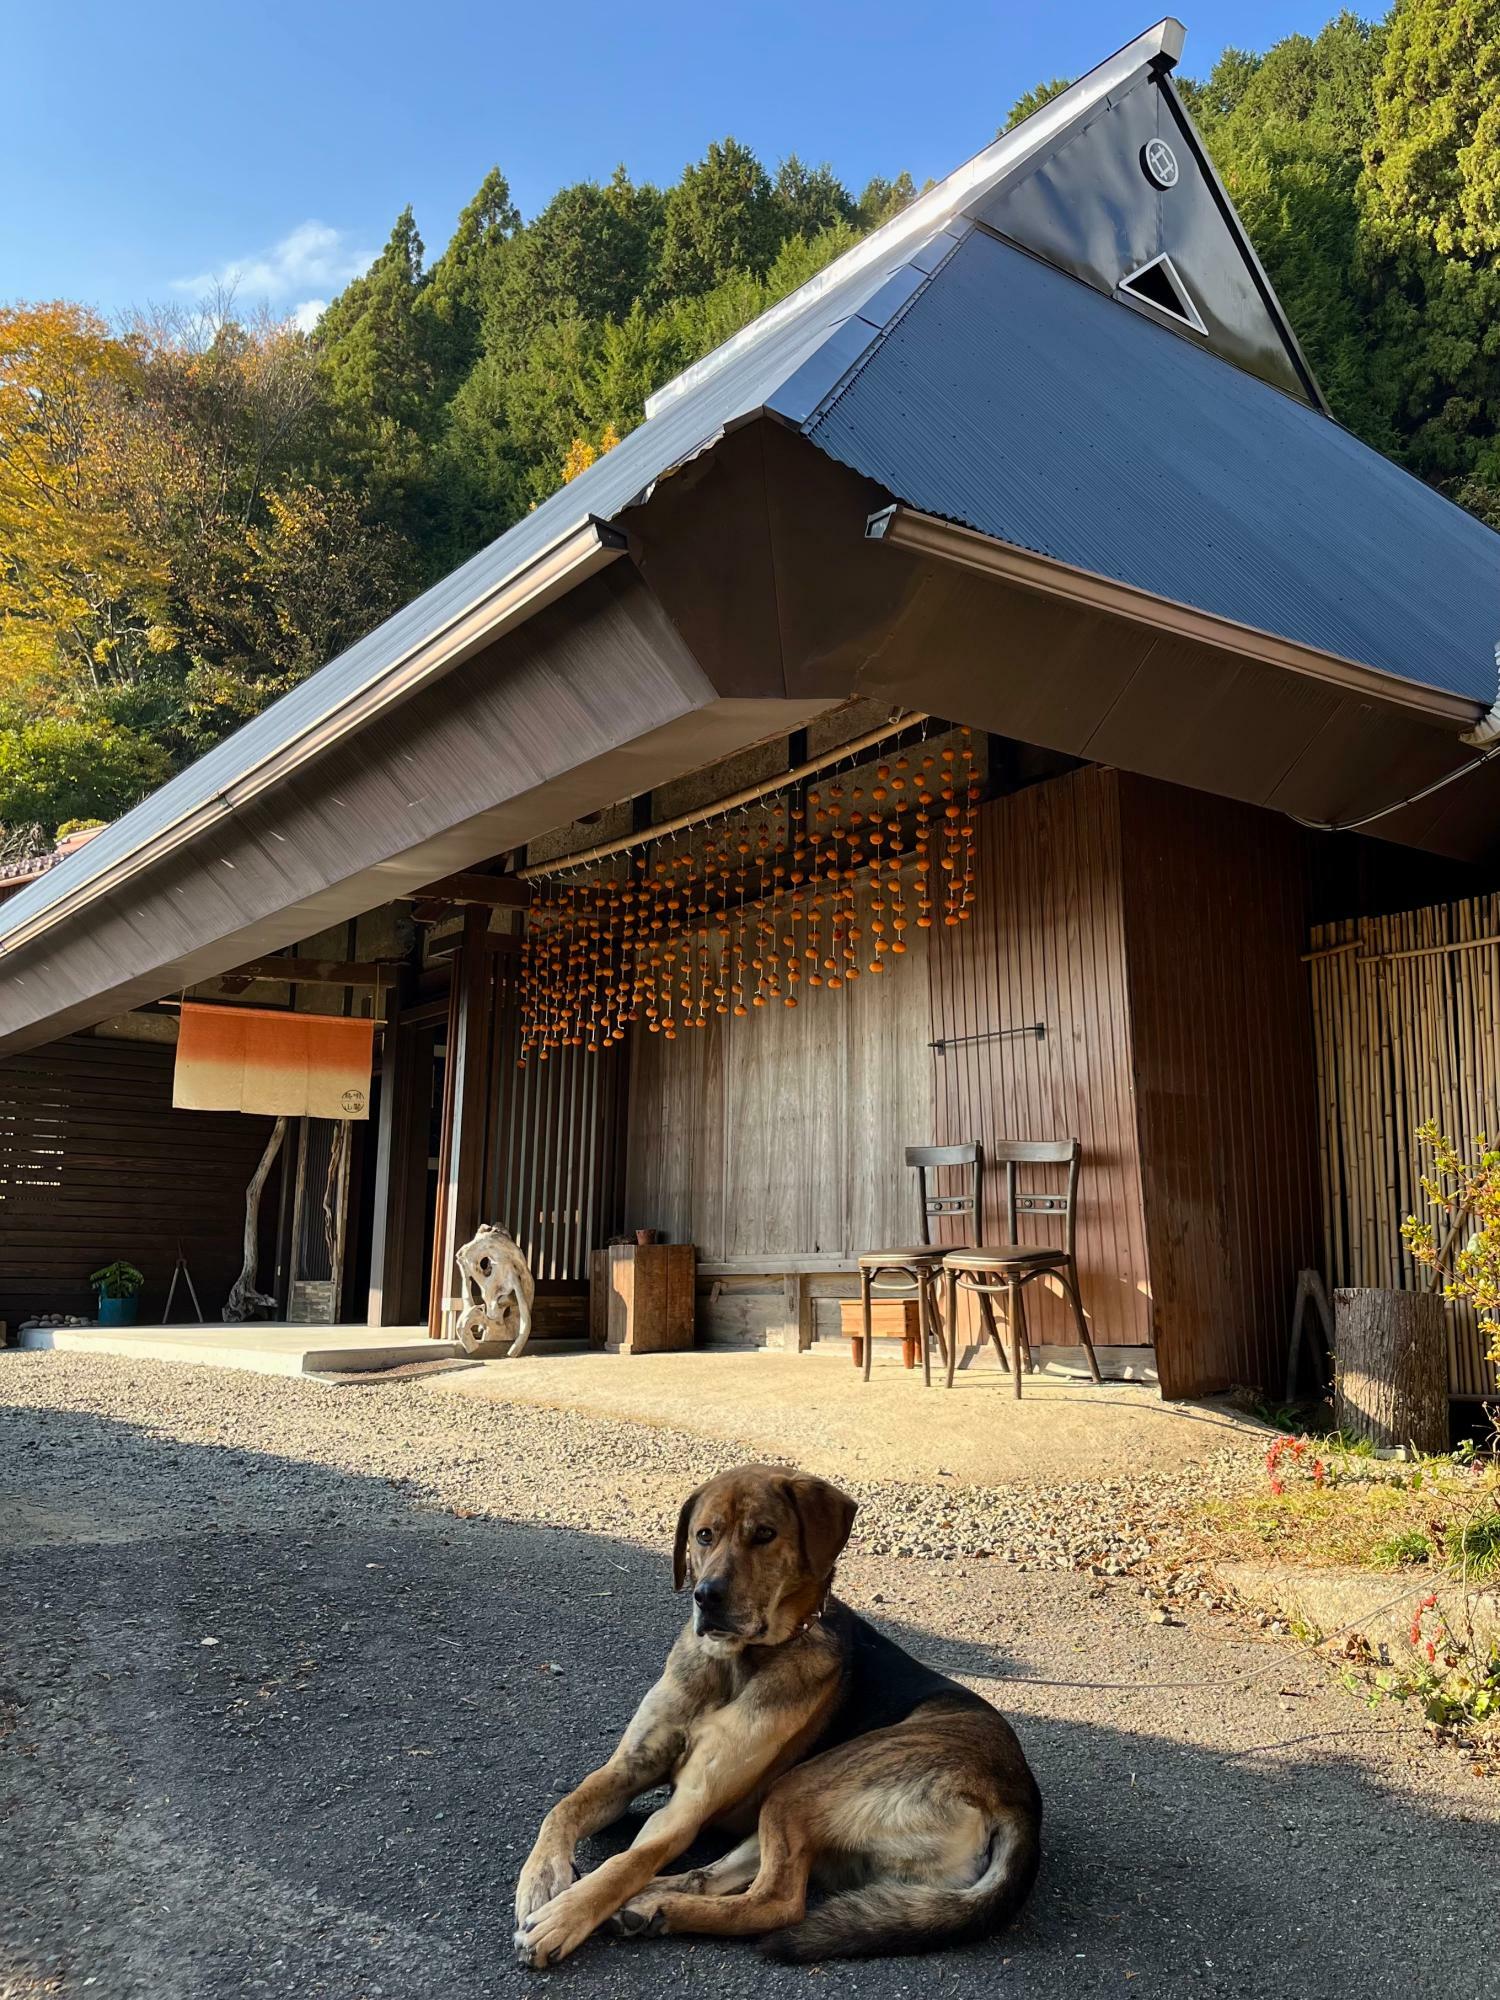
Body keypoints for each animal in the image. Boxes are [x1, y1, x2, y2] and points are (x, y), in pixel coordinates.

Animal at [512, 1472, 1040, 1968]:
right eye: (704, 1535)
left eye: (764, 1534)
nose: (706, 1596)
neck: (738, 1662)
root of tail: (1018, 1800)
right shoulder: (629, 1768)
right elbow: (564, 1809)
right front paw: (542, 1881)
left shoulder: (690, 1807)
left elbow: (625, 1864)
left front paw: (565, 1916)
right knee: (719, 1875)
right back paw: (650, 1902)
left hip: (803, 1784)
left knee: (778, 1903)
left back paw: (666, 1909)